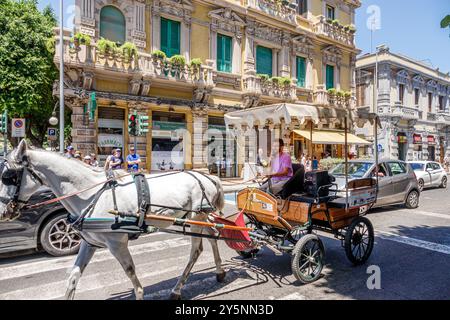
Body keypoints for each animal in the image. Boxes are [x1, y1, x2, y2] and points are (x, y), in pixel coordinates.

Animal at [0, 140, 225, 300]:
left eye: (8, 176)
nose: (3, 212)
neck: (90, 193)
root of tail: (208, 177)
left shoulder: (116, 243)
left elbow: (132, 276)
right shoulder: (89, 243)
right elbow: (72, 279)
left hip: (196, 217)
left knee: (196, 250)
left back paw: (177, 288)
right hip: (200, 218)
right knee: (214, 235)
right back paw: (220, 271)